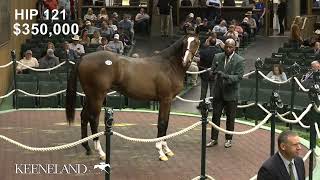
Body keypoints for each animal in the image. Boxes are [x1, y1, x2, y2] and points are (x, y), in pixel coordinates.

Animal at [65, 33, 200, 161]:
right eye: (185, 42)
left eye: (196, 42)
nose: (186, 61)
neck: (168, 66)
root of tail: (84, 57)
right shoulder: (165, 99)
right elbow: (162, 123)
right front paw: (161, 152)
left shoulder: (168, 101)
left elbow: (166, 123)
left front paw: (167, 150)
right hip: (97, 96)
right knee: (93, 119)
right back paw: (101, 153)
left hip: (90, 95)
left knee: (84, 116)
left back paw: (87, 147)